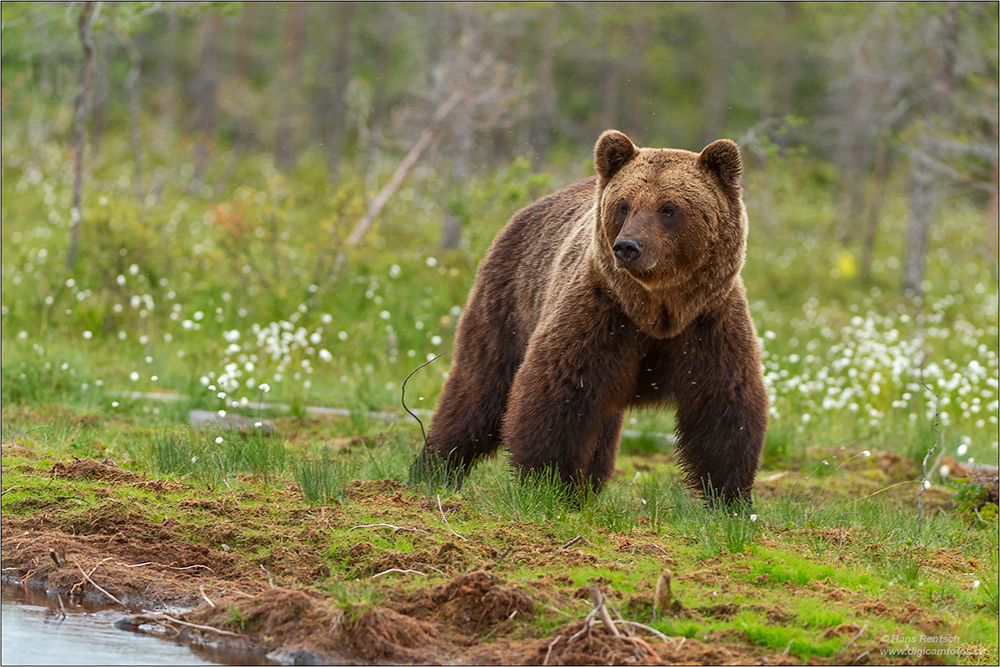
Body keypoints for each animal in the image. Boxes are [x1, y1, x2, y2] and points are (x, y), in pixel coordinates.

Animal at [410, 130, 768, 504]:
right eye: (624, 205)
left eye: (668, 208)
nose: (628, 246)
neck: (657, 310)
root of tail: (526, 211)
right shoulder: (602, 313)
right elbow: (560, 392)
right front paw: (548, 482)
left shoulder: (708, 322)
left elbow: (724, 404)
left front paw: (730, 497)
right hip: (509, 303)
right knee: (480, 388)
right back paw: (434, 467)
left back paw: (588, 486)